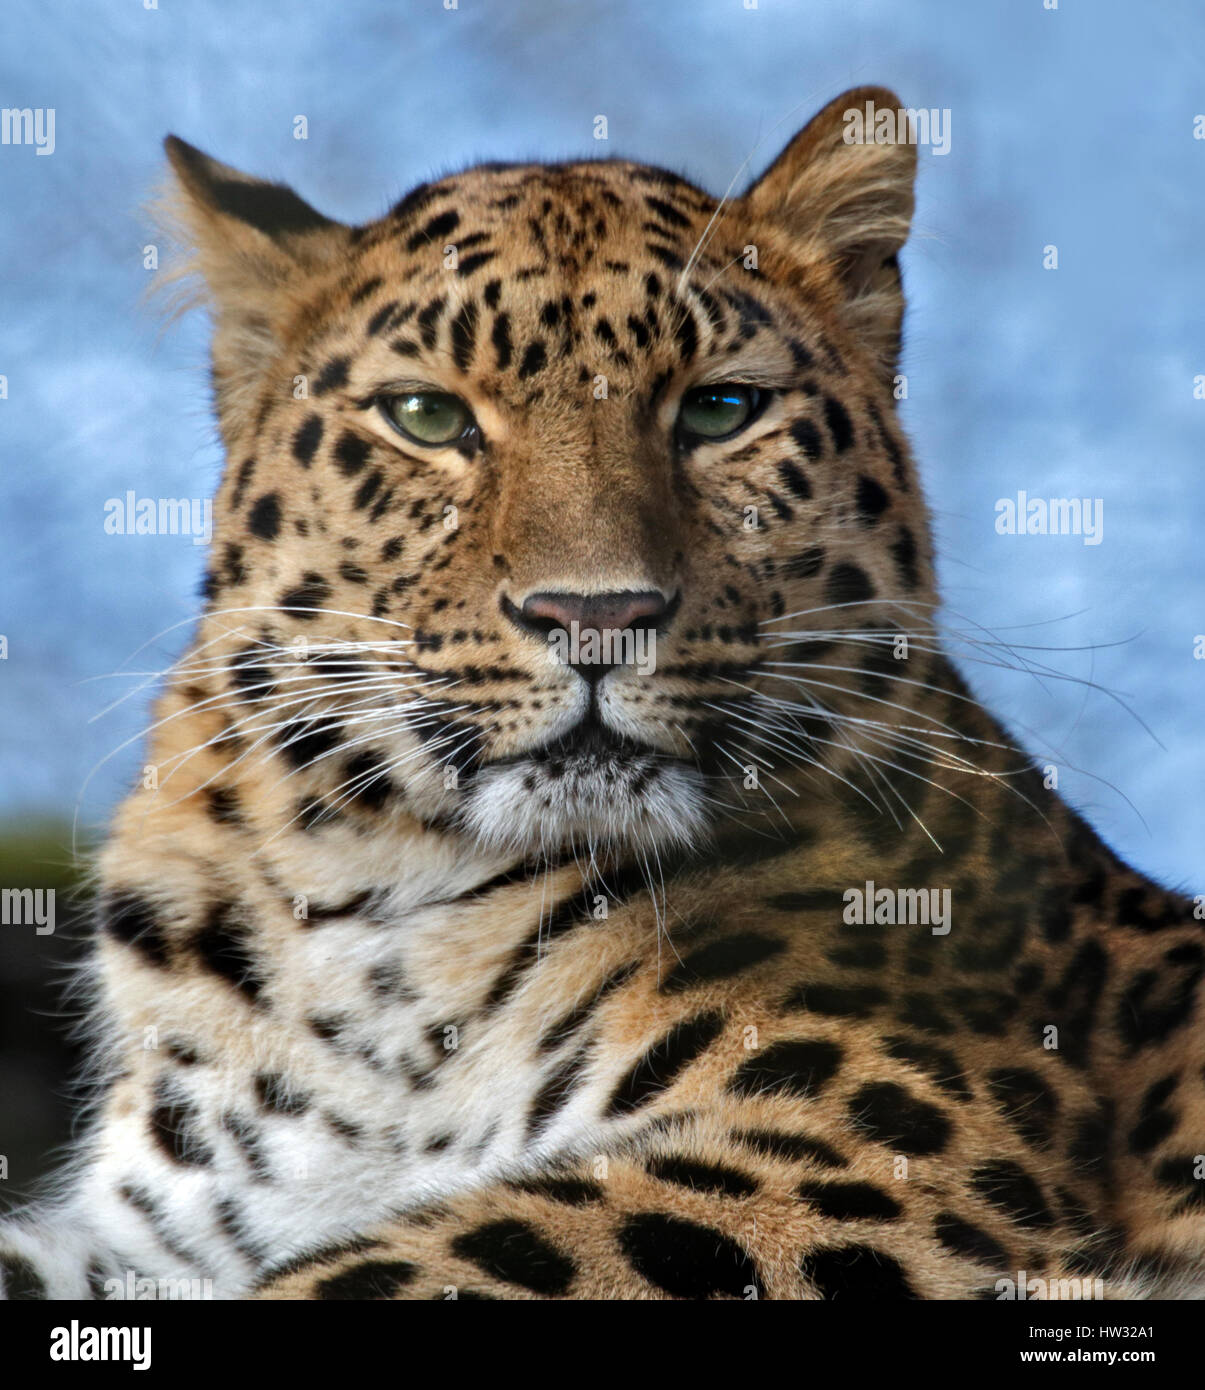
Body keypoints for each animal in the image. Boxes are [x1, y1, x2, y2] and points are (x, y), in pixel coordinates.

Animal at [2, 85, 1202, 1302]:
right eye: (424, 417)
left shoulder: (879, 1154)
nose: (596, 614)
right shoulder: (151, 1237)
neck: (366, 924)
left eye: (719, 410)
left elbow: (397, 1261)